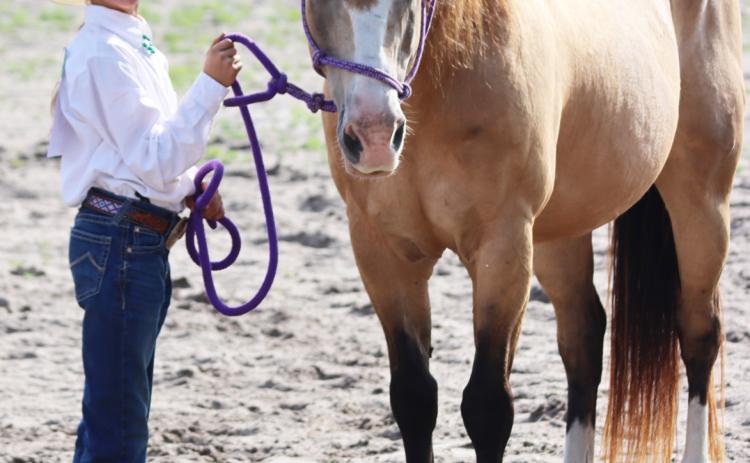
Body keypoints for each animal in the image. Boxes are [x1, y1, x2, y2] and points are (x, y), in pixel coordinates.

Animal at [303, 0, 744, 461]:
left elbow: (487, 406)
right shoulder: (383, 253)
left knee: (699, 332)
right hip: (558, 235)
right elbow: (413, 397)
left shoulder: (504, 246)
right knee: (584, 338)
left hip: (701, 203)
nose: (373, 135)